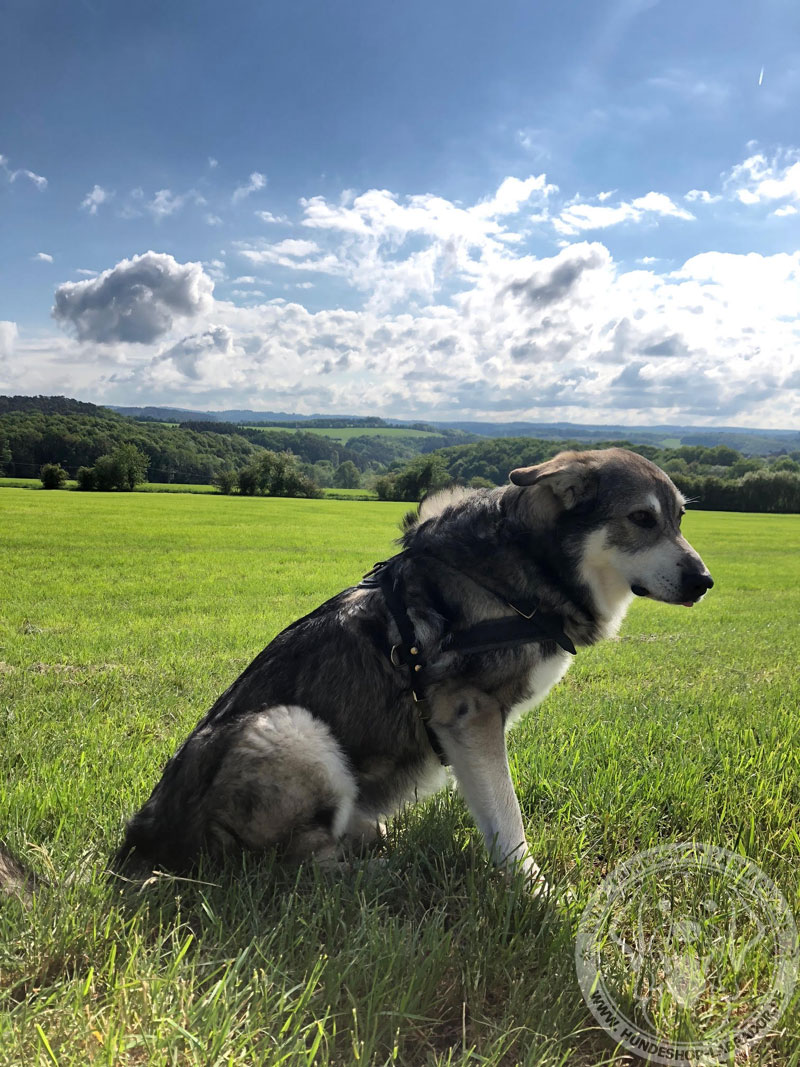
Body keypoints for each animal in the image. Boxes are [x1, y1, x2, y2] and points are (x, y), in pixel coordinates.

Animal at [0, 446, 712, 896]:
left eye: (680, 518)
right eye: (641, 519)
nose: (705, 582)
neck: (524, 570)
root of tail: (138, 844)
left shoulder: (462, 733)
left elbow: (489, 808)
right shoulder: (470, 716)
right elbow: (508, 821)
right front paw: (537, 894)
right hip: (291, 727)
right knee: (289, 868)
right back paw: (383, 874)